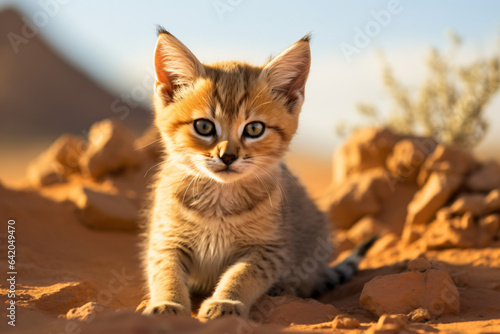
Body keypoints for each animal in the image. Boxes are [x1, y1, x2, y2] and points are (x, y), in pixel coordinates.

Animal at [143, 28, 374, 318]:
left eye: (254, 129)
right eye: (204, 126)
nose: (228, 156)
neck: (219, 199)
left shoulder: (269, 248)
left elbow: (242, 275)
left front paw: (226, 302)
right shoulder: (167, 240)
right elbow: (166, 272)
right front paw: (169, 303)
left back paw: (284, 288)